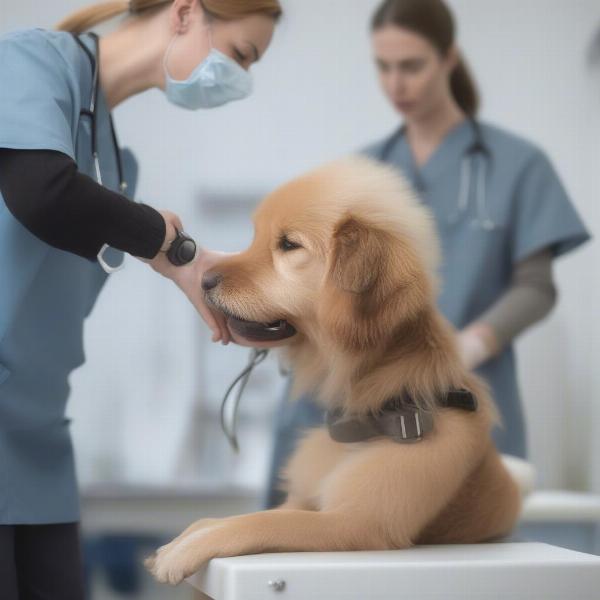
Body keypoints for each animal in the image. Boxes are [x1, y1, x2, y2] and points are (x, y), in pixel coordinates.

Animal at [148, 156, 524, 584]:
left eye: (288, 245)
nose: (205, 280)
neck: (377, 416)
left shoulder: (357, 523)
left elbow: (262, 522)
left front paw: (185, 549)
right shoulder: (303, 500)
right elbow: (238, 516)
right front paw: (192, 532)